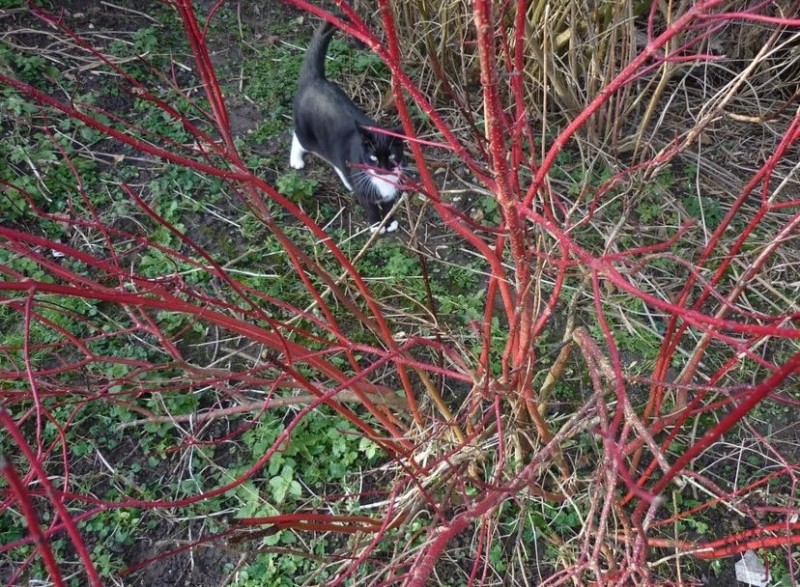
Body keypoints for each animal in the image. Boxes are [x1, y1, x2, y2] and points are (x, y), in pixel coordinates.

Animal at [290, 23, 406, 234]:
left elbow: (387, 204)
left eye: (393, 156)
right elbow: (370, 207)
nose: (382, 170)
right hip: (307, 134)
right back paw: (296, 160)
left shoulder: (390, 190)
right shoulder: (364, 191)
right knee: (298, 137)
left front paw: (390, 222)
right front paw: (377, 227)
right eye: (373, 158)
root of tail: (314, 79)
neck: (381, 182)